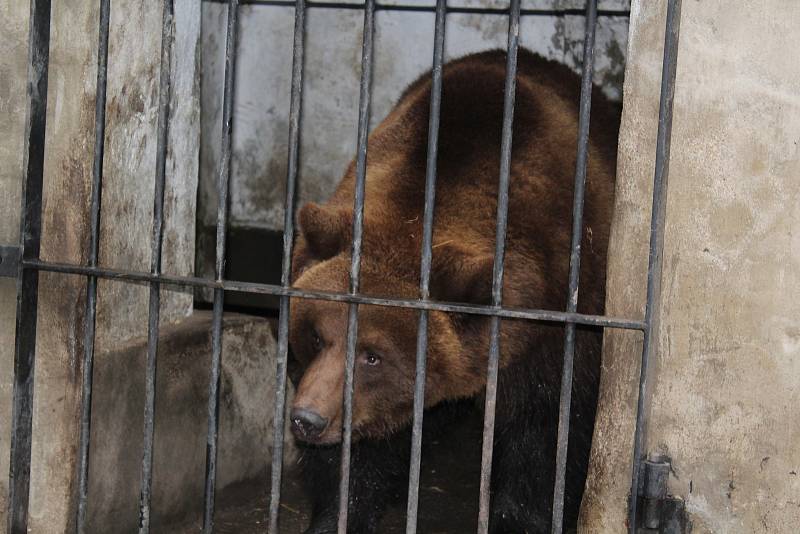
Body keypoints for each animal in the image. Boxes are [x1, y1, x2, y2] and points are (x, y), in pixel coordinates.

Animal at [288, 50, 620, 534]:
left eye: (374, 355)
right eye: (315, 335)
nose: (307, 420)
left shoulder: (556, 321)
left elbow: (545, 428)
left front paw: (517, 519)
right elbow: (361, 450)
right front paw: (339, 512)